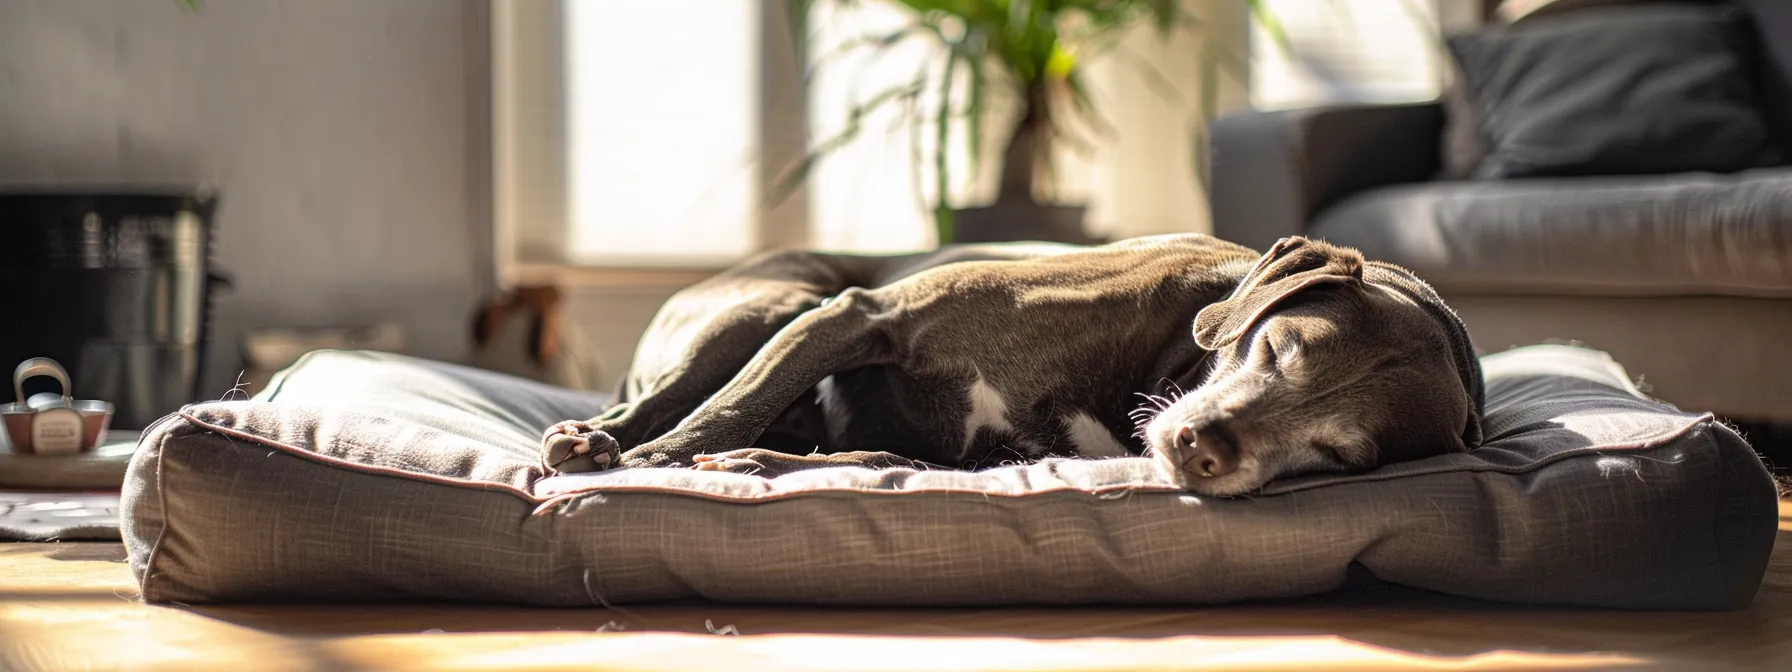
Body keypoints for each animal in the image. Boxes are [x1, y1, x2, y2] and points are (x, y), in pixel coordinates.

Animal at [534, 234, 1483, 498]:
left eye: (1339, 454)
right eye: (1282, 348)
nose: (1203, 450)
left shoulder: (984, 458)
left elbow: (881, 460)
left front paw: (756, 465)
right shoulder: (860, 315)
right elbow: (727, 410)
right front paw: (653, 464)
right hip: (773, 307)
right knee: (671, 399)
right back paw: (595, 443)